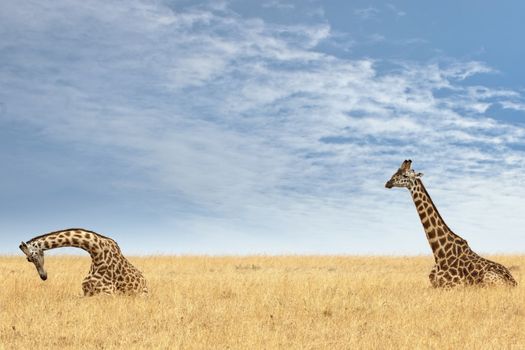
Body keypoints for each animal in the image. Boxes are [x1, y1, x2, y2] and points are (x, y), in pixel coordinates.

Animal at [384, 160, 516, 288]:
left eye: (405, 175)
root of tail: (514, 282)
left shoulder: (453, 286)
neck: (439, 254)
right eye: (396, 171)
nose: (388, 183)